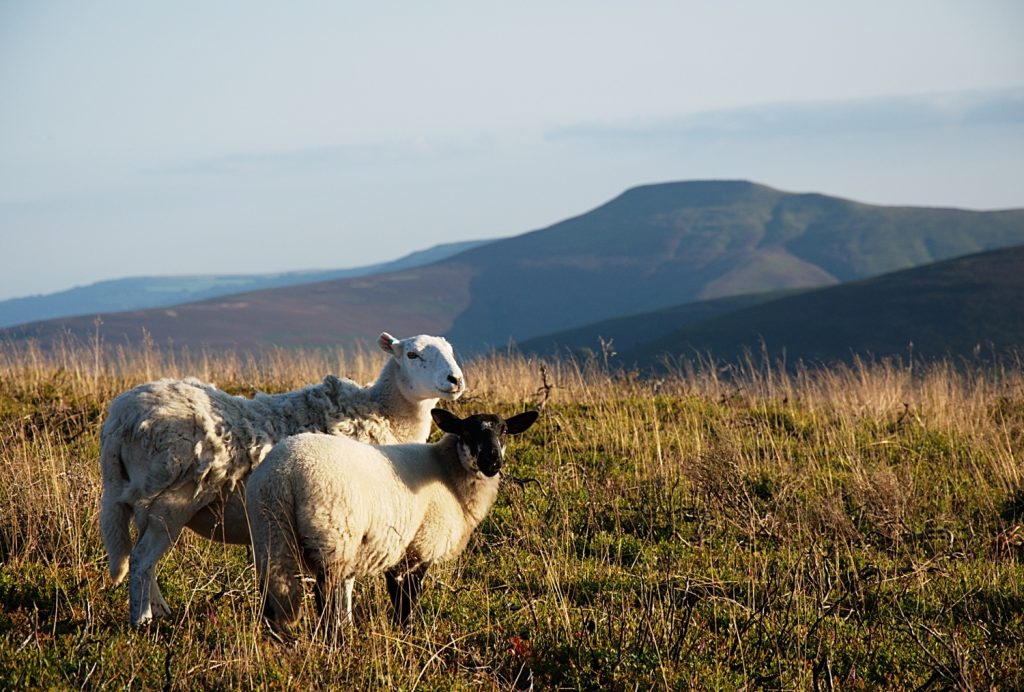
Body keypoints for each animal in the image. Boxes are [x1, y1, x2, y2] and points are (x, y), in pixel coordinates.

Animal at [97, 329, 466, 626]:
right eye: (412, 354)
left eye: (450, 351)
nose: (455, 380)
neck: (382, 413)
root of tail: (119, 418)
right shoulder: (349, 511)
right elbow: (345, 576)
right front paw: (345, 622)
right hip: (170, 501)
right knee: (142, 560)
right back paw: (142, 621)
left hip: (147, 503)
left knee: (142, 557)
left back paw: (159, 610)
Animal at [244, 405, 540, 638]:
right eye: (466, 432)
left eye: (503, 431)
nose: (492, 461)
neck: (448, 474)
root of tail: (282, 474)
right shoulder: (420, 547)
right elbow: (407, 600)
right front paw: (409, 635)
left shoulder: (396, 550)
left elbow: (397, 596)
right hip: (332, 537)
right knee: (324, 598)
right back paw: (335, 645)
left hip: (269, 531)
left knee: (270, 597)